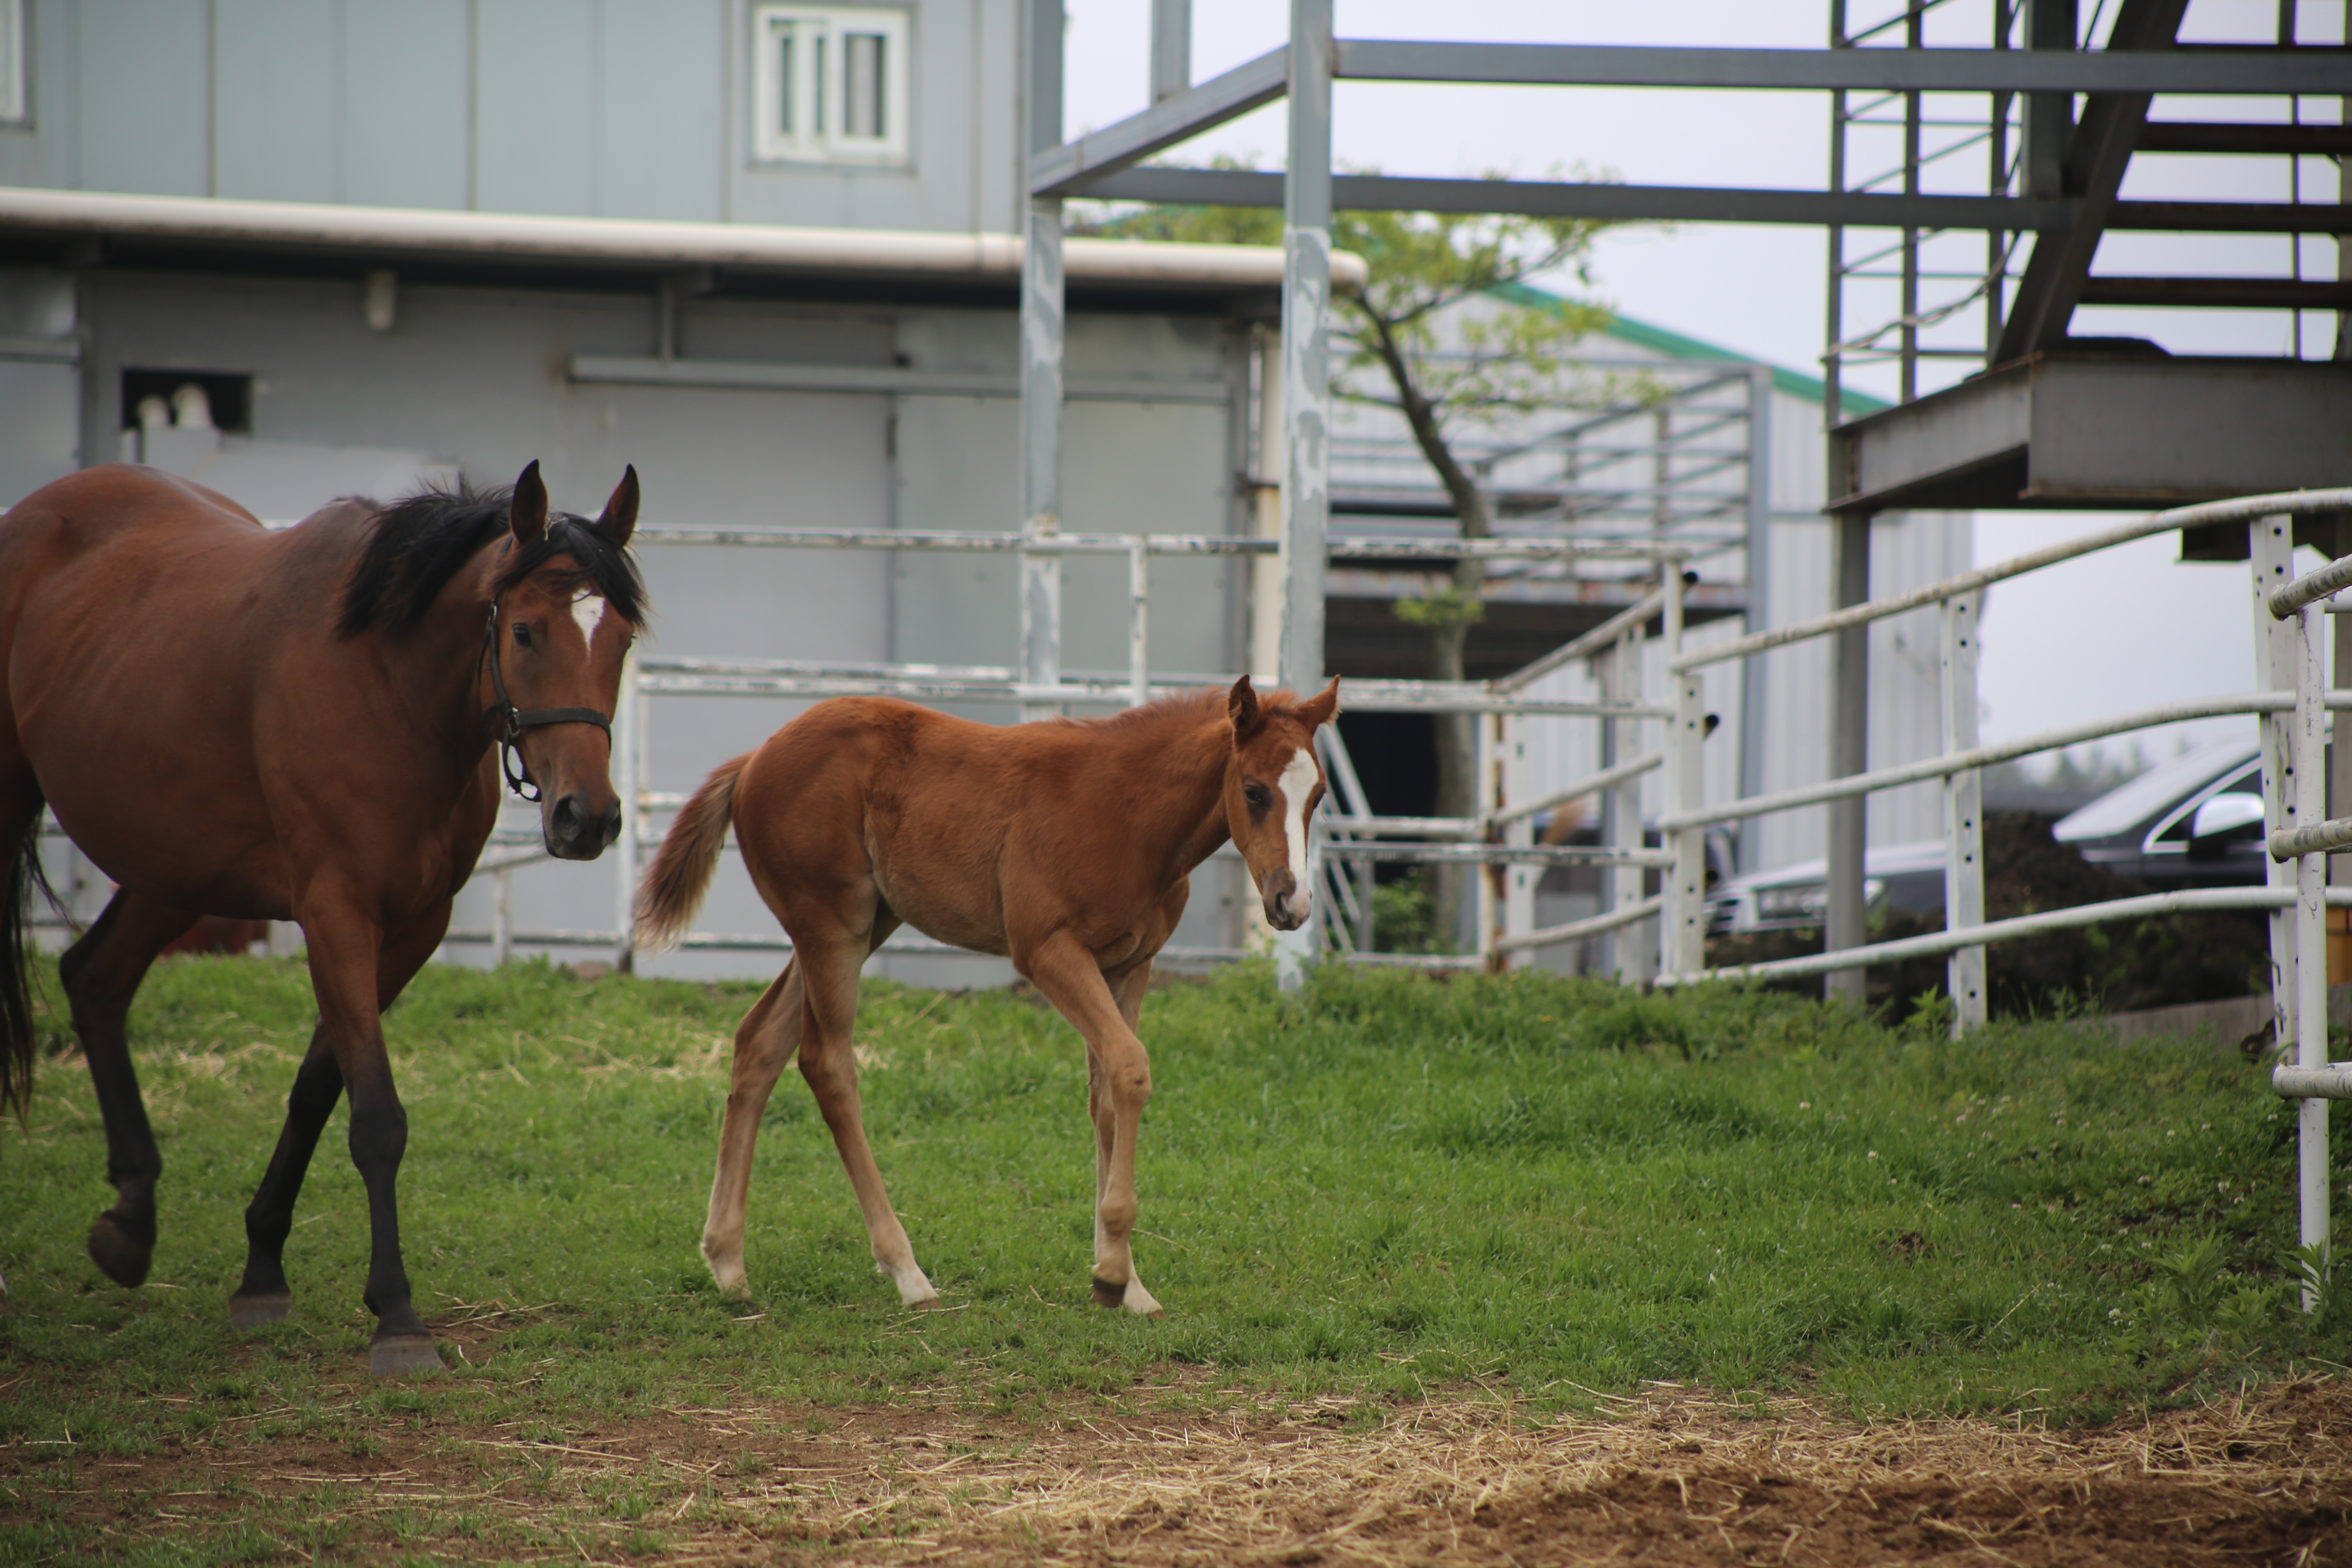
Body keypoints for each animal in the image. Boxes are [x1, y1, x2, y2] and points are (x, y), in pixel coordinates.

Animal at [635, 682, 1345, 1316]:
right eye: (1253, 790)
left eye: (1317, 796)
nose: (1292, 903)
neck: (1128, 813)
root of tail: (755, 758)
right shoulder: (1047, 951)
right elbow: (1131, 1068)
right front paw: (1114, 1274)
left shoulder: (1130, 966)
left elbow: (1108, 1096)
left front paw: (1125, 1283)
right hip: (832, 925)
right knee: (827, 1063)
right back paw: (907, 1273)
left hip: (865, 925)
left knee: (758, 1043)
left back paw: (728, 1264)